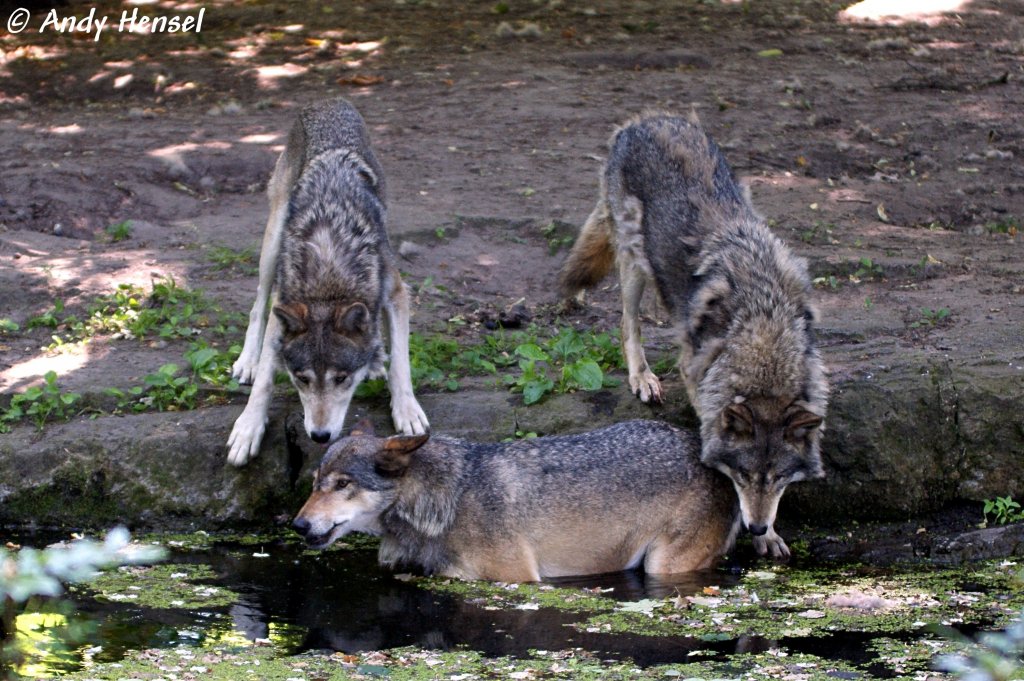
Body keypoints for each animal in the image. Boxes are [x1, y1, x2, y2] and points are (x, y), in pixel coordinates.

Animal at [226, 98, 429, 467]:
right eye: (302, 379)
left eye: (341, 379)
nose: (319, 436)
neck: (330, 280)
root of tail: (327, 101)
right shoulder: (285, 302)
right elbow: (265, 379)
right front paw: (248, 428)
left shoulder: (395, 291)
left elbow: (401, 365)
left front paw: (407, 410)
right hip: (272, 242)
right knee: (257, 305)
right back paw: (247, 361)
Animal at [292, 419, 740, 582]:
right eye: (315, 484)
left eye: (342, 484)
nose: (298, 524)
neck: (445, 501)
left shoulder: (517, 578)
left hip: (662, 565)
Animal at [558, 112, 828, 558]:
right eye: (743, 475)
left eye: (776, 478)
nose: (755, 527)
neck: (763, 325)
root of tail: (644, 120)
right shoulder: (697, 375)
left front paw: (770, 534)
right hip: (633, 259)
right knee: (627, 323)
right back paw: (642, 378)